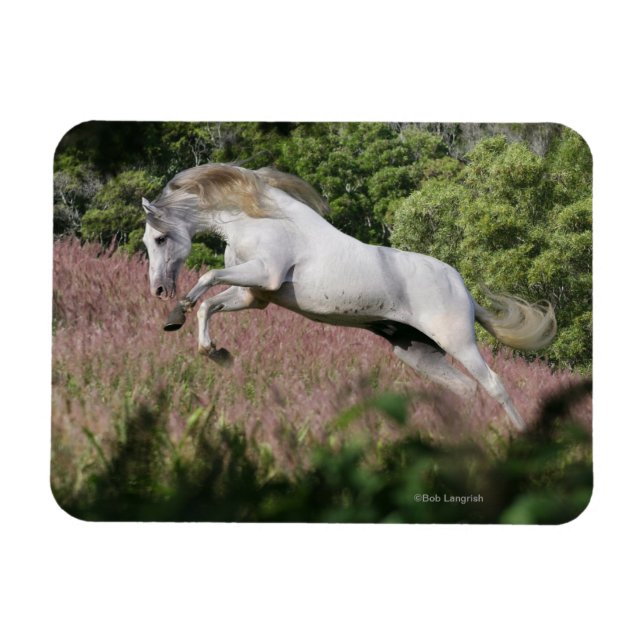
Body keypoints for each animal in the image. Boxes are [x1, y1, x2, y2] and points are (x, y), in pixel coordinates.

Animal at [141, 163, 556, 431]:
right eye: (147, 241)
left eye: (160, 238)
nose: (159, 289)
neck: (261, 219)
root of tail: (465, 291)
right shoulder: (253, 296)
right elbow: (209, 304)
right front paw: (212, 350)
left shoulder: (265, 274)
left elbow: (207, 278)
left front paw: (178, 314)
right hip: (415, 351)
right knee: (466, 389)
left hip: (459, 343)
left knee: (494, 385)